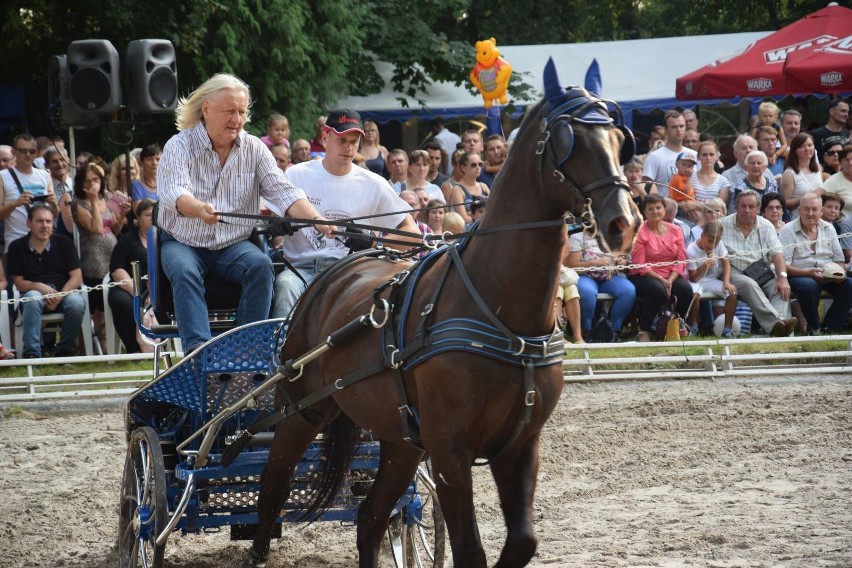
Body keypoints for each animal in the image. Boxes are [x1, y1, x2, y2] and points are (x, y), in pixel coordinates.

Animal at [245, 60, 640, 564]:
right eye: (568, 139)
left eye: (618, 138)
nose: (624, 222)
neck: (503, 313)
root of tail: (335, 273)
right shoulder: (450, 449)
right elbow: (470, 551)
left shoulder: (520, 445)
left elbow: (523, 541)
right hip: (300, 412)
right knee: (272, 488)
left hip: (399, 439)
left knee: (370, 517)